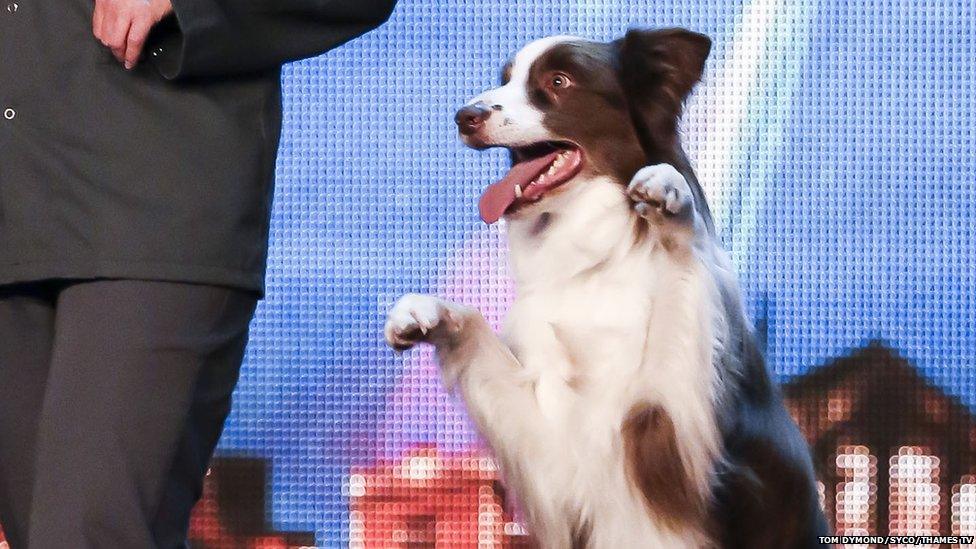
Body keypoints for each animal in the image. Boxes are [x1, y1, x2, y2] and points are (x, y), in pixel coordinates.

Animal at [386, 31, 828, 548]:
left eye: (559, 81)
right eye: (506, 79)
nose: (464, 116)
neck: (592, 267)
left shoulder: (665, 425)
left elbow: (681, 266)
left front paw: (669, 197)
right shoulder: (558, 449)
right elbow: (474, 327)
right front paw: (425, 314)